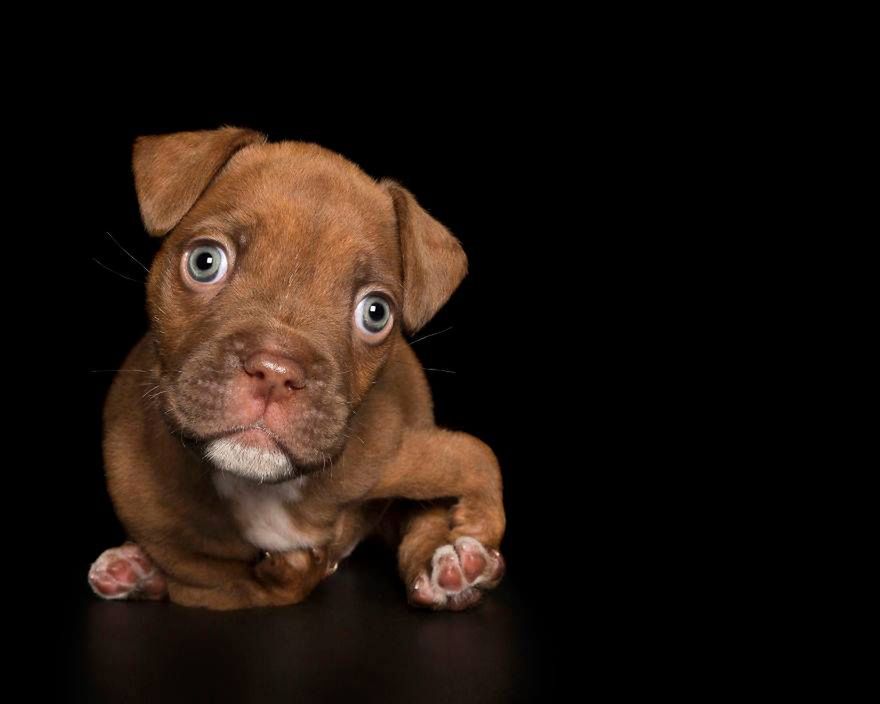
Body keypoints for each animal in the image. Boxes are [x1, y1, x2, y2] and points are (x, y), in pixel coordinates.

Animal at [87, 128, 508, 612]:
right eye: (204, 261)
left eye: (376, 312)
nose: (275, 370)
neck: (257, 486)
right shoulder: (196, 574)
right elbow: (252, 581)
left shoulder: (393, 456)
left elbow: (478, 457)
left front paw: (473, 527)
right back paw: (134, 569)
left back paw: (452, 563)